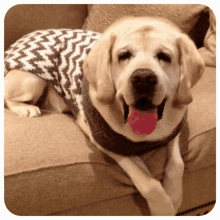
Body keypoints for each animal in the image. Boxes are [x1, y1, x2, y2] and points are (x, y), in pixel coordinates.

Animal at [3, 16, 205, 215]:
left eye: (164, 56)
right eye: (123, 55)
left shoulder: (173, 131)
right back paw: (26, 109)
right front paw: (164, 207)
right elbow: (148, 182)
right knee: (7, 97)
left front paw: (174, 195)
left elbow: (178, 164)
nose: (143, 79)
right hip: (32, 80)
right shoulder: (108, 144)